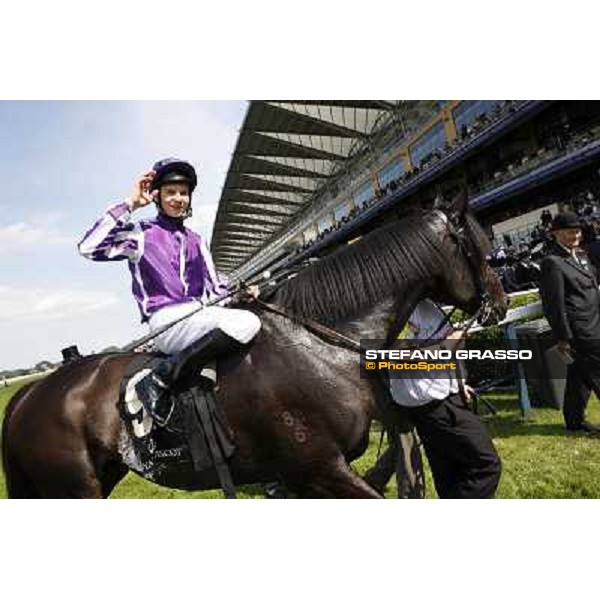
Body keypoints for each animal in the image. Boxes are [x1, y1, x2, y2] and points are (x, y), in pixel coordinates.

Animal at [0, 199, 506, 500]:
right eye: (483, 250)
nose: (499, 304)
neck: (320, 345)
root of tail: (27, 394)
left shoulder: (305, 480)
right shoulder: (319, 470)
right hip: (73, 487)